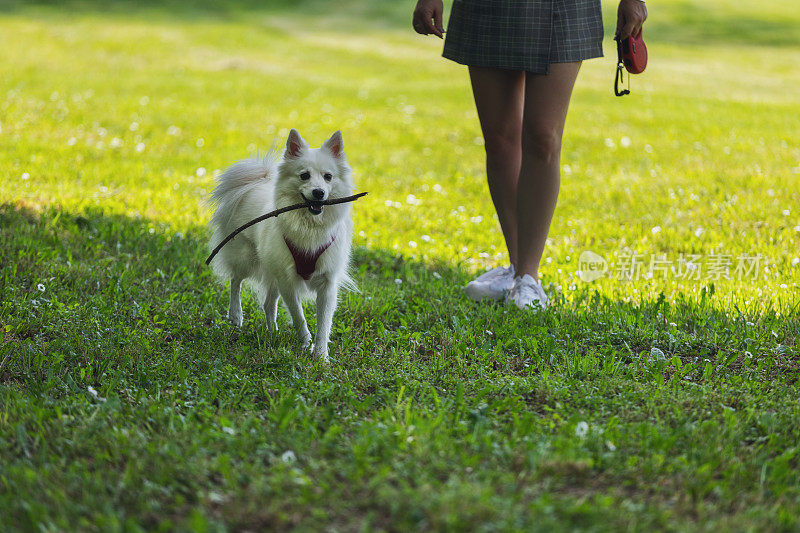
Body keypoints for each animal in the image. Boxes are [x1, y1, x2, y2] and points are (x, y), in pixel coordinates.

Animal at [208, 130, 354, 362]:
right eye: (304, 176)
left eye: (328, 177)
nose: (319, 192)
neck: (310, 226)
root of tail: (258, 181)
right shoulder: (288, 281)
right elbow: (298, 315)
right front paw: (305, 343)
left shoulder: (327, 283)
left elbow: (324, 323)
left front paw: (320, 355)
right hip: (246, 258)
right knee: (235, 280)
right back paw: (236, 315)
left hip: (273, 270)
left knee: (268, 304)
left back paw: (272, 333)